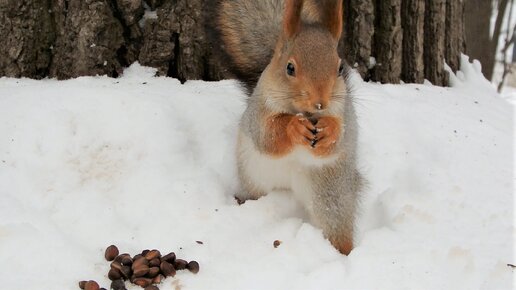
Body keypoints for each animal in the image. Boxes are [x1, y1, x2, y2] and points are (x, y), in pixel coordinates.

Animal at [206, 0, 362, 254]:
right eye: (290, 68)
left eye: (340, 68)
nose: (320, 102)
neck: (306, 114)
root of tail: (291, 189)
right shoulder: (259, 112)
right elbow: (268, 136)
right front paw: (294, 127)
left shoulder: (345, 113)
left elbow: (339, 138)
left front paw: (329, 129)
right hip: (256, 182)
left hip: (332, 193)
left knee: (336, 223)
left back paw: (344, 252)